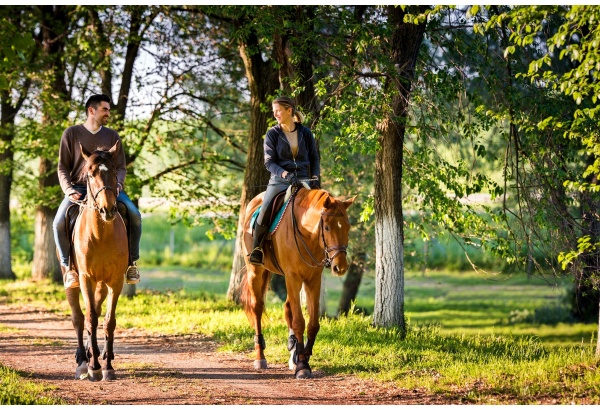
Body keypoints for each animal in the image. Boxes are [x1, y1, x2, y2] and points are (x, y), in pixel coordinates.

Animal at [61, 143, 129, 382]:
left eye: (114, 171)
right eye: (90, 174)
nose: (108, 210)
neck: (100, 235)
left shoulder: (115, 281)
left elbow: (108, 320)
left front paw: (107, 366)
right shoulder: (86, 279)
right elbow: (89, 318)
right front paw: (93, 367)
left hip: (102, 284)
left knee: (98, 312)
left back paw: (96, 352)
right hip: (72, 280)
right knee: (78, 318)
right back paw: (83, 360)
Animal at [240, 187, 354, 380]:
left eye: (347, 227)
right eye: (327, 227)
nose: (340, 267)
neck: (306, 233)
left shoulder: (313, 280)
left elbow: (312, 323)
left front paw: (303, 356)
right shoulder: (293, 277)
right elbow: (299, 321)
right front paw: (302, 365)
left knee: (287, 309)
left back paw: (292, 353)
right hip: (256, 271)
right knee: (257, 308)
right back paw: (260, 358)